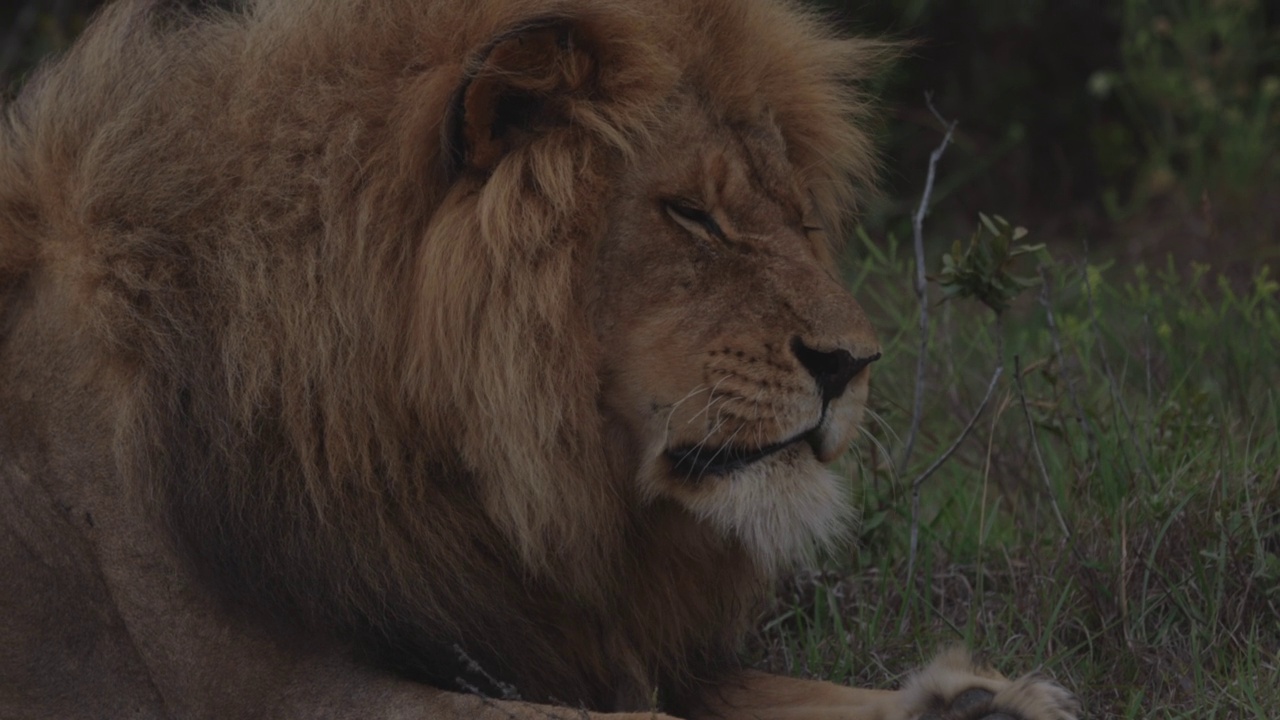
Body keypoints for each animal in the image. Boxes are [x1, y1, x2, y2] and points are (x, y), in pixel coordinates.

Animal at [0, 1, 1080, 717]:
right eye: (691, 214)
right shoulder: (260, 689)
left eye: (797, 218)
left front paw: (983, 699)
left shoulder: (570, 640)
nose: (852, 363)